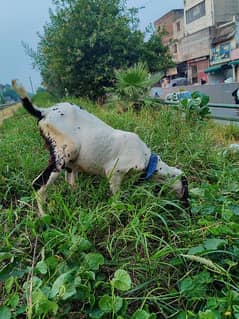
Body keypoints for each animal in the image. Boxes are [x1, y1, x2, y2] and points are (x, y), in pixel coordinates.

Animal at [12, 80, 189, 216]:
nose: (187, 208)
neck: (147, 159)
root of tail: (45, 112)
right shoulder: (114, 173)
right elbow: (117, 197)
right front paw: (118, 210)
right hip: (63, 155)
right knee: (38, 185)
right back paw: (44, 216)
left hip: (70, 163)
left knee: (70, 184)